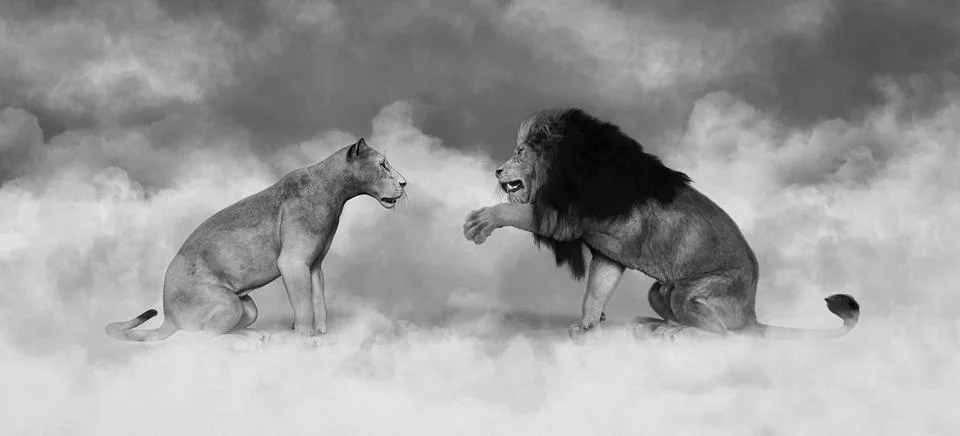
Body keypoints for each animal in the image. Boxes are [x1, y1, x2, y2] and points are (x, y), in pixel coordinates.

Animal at [106, 138, 406, 342]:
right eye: (382, 165)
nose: (404, 183)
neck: (336, 193)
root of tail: (168, 315)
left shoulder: (314, 266)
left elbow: (319, 300)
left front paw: (322, 333)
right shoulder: (293, 263)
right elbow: (304, 305)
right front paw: (304, 337)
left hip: (247, 307)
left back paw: (252, 336)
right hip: (228, 303)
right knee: (202, 339)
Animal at [463, 109, 859, 340]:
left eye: (519, 152)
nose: (497, 170)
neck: (569, 166)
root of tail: (751, 314)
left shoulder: (566, 219)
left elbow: (519, 214)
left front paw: (481, 221)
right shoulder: (608, 255)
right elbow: (596, 291)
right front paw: (588, 326)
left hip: (692, 293)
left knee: (724, 335)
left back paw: (677, 332)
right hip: (660, 289)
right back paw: (655, 324)